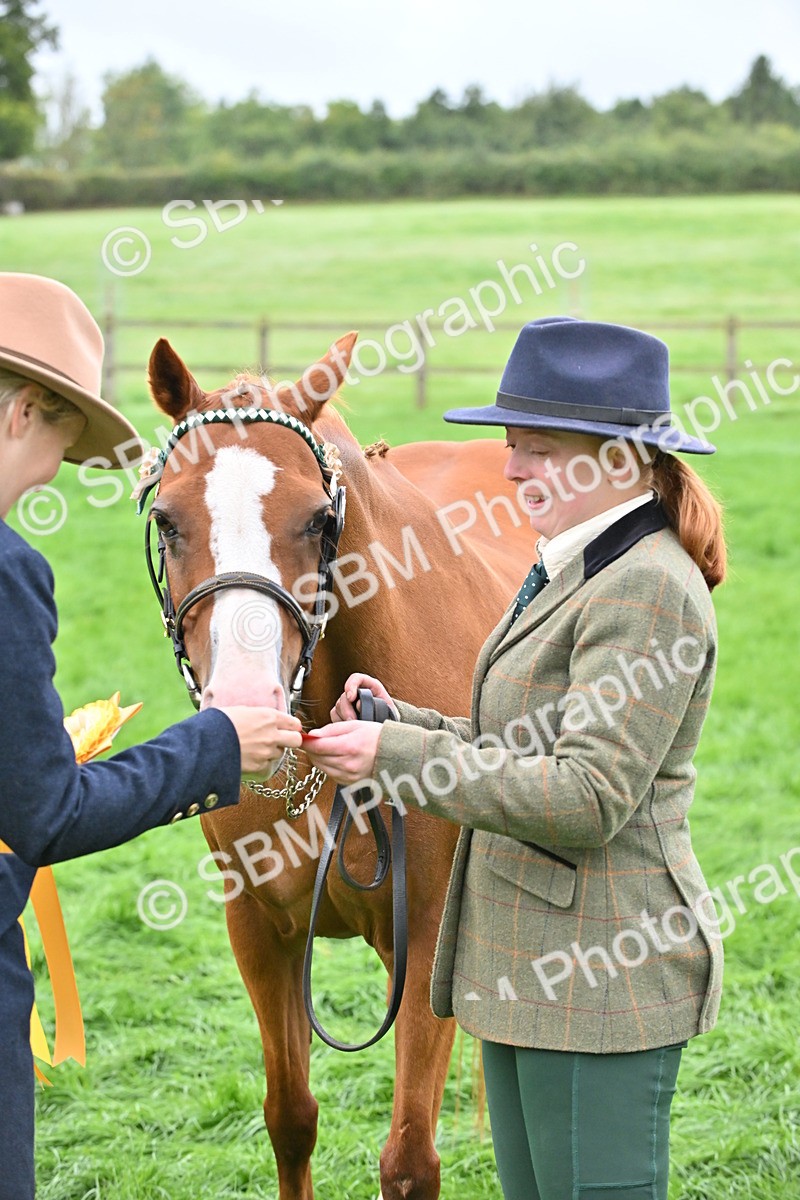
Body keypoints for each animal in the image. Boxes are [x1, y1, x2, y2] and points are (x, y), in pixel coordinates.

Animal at [144, 331, 535, 1200]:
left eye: (320, 520)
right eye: (168, 520)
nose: (244, 702)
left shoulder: (426, 942)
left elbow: (411, 1159)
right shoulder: (259, 931)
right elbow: (290, 1117)